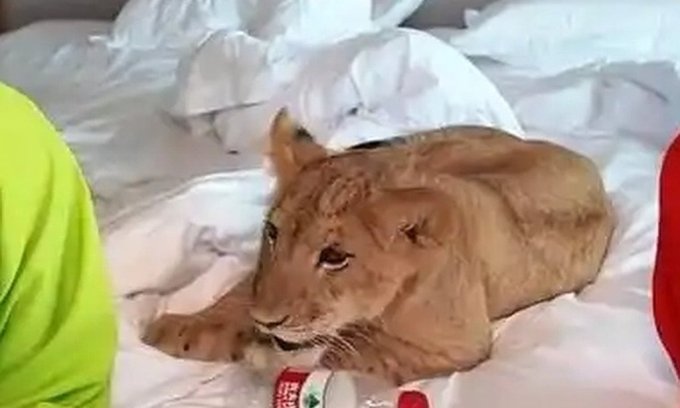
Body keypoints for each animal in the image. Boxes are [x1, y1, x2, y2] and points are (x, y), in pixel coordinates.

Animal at [143, 109, 615, 385]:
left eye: (334, 257)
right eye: (273, 234)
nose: (268, 321)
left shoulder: (462, 347)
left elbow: (358, 356)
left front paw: (270, 358)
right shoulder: (263, 277)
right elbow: (242, 290)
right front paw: (178, 330)